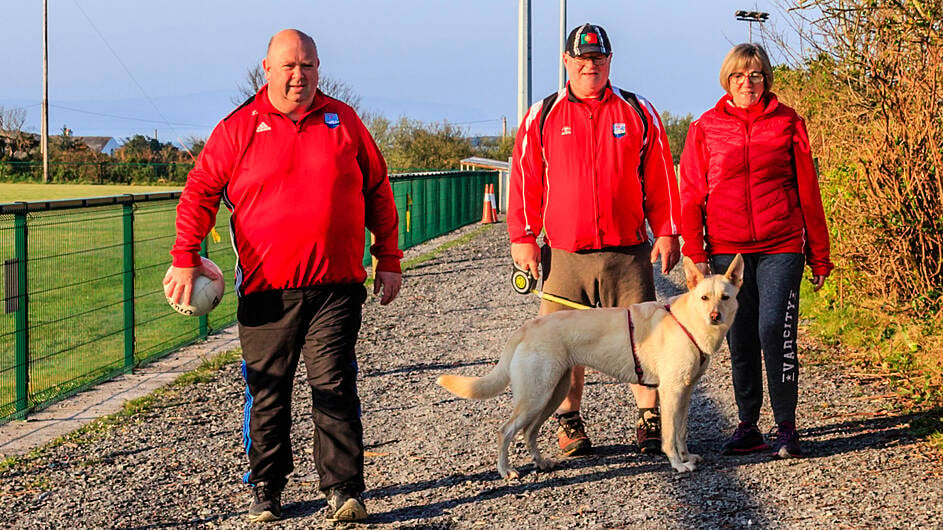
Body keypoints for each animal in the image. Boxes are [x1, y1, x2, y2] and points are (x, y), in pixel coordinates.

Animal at [436, 254, 744, 476]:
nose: (715, 316)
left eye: (725, 297)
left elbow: (681, 432)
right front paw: (678, 464)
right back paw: (506, 471)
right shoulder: (671, 393)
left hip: (552, 395)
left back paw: (542, 463)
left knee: (528, 432)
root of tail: (525, 328)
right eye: (704, 298)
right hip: (536, 397)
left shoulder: (684, 393)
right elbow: (670, 436)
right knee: (506, 431)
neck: (687, 321)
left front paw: (687, 456)